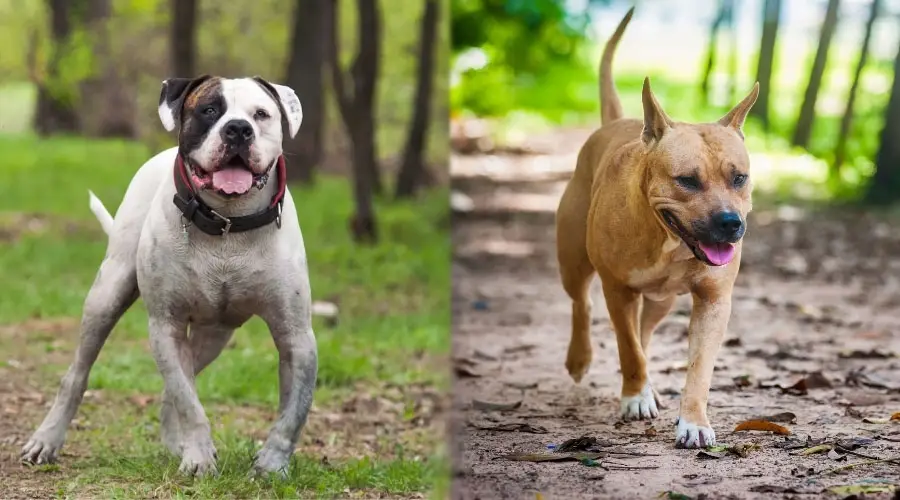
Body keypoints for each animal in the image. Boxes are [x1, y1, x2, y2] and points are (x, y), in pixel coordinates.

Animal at [20, 75, 316, 476]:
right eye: (209, 110)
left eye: (261, 114)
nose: (239, 129)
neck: (228, 223)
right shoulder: (166, 327)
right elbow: (188, 401)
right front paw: (199, 458)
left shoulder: (297, 337)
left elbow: (293, 412)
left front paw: (271, 464)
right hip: (106, 296)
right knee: (79, 374)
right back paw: (48, 438)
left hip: (214, 335)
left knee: (174, 387)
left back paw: (177, 443)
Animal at [556, 6, 760, 450]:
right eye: (687, 180)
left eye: (739, 178)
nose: (730, 223)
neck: (667, 240)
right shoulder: (618, 290)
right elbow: (628, 349)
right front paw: (634, 397)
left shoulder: (714, 301)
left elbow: (698, 367)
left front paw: (693, 420)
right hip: (573, 262)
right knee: (583, 304)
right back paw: (582, 359)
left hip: (661, 301)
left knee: (643, 331)